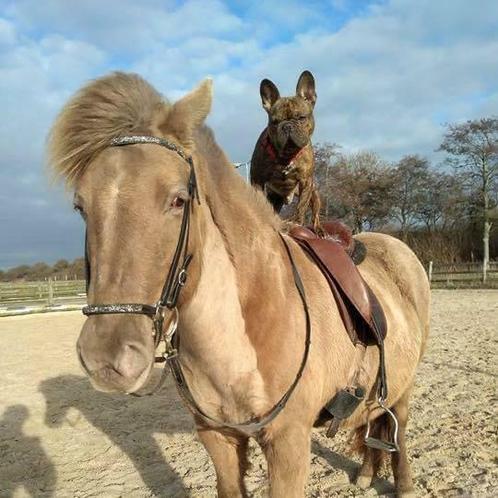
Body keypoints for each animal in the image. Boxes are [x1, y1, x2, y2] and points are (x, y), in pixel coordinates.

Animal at [249, 70, 322, 230]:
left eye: (301, 118)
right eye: (275, 122)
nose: (287, 126)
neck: (287, 155)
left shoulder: (306, 181)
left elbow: (301, 206)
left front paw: (297, 222)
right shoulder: (257, 180)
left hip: (314, 193)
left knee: (315, 212)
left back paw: (319, 229)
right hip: (275, 197)